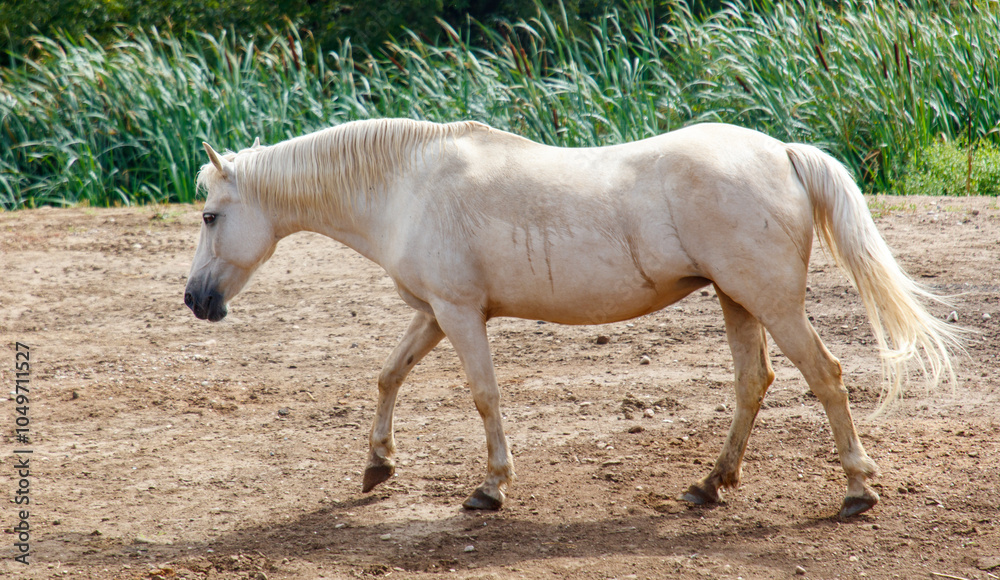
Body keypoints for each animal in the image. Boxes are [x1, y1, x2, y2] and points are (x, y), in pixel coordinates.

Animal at [184, 118, 961, 518]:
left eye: (211, 215)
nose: (195, 301)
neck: (407, 185)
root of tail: (782, 152)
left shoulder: (460, 316)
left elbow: (483, 396)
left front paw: (491, 488)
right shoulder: (435, 314)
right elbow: (387, 376)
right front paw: (379, 465)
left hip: (770, 302)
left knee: (825, 376)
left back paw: (858, 490)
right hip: (737, 299)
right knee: (754, 383)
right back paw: (709, 484)